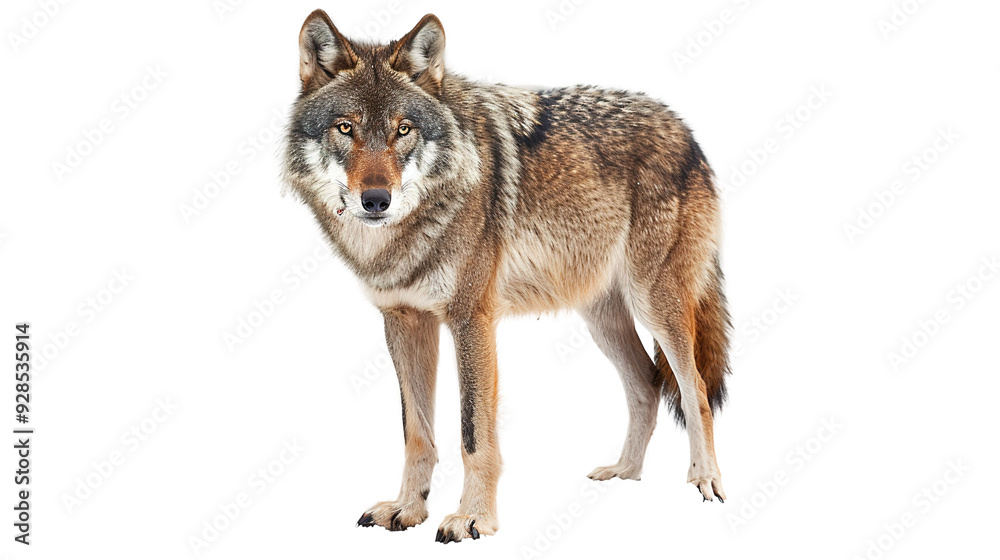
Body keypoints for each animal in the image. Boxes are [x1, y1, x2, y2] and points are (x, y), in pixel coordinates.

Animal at [282, 10, 732, 543]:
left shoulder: (471, 320)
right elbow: (417, 433)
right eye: (345, 127)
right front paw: (408, 509)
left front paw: (473, 518)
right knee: (646, 383)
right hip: (602, 317)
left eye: (403, 129)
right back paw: (625, 472)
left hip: (655, 304)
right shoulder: (405, 321)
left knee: (694, 389)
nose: (376, 200)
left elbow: (473, 434)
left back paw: (705, 479)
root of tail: (686, 129)